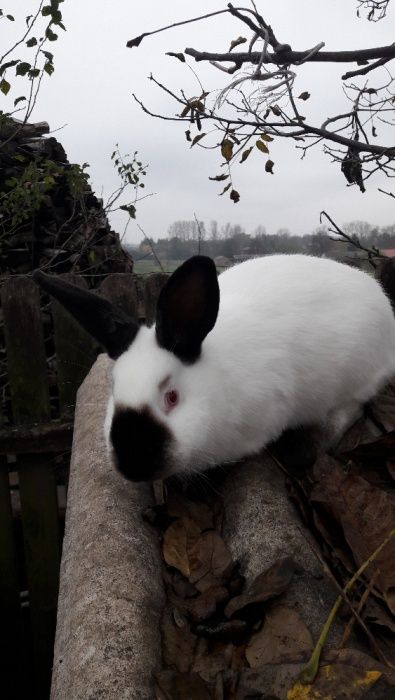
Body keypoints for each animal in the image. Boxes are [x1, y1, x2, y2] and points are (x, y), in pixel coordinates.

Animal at [33, 256, 395, 482]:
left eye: (172, 397)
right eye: (113, 388)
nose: (135, 466)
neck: (215, 387)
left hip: (353, 378)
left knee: (350, 410)